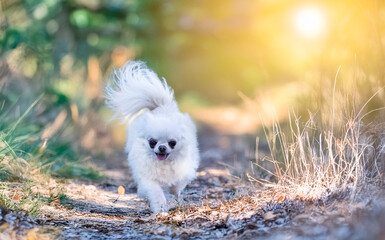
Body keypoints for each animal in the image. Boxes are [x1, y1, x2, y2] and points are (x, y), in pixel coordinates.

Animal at [106, 61, 200, 213]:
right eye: (152, 142)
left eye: (172, 143)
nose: (162, 147)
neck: (163, 164)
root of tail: (163, 107)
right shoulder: (148, 180)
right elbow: (156, 192)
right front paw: (160, 207)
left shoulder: (182, 172)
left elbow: (176, 186)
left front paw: (174, 196)